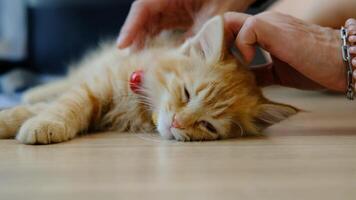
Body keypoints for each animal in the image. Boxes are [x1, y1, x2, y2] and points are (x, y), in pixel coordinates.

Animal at [0, 15, 298, 144]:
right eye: (187, 93)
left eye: (208, 125)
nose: (177, 122)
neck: (139, 107)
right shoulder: (97, 84)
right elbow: (65, 104)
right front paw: (39, 122)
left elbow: (50, 107)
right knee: (65, 81)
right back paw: (33, 89)